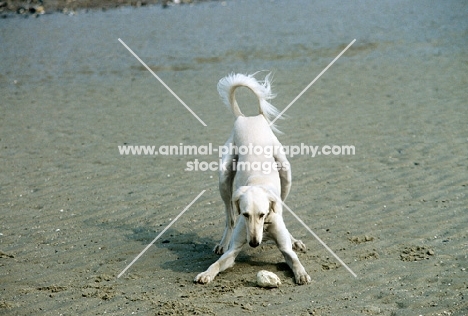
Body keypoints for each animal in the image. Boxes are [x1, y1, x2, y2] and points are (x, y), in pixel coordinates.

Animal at [194, 73, 310, 286]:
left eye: (262, 214)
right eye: (246, 215)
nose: (254, 243)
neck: (257, 184)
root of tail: (248, 117)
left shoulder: (284, 247)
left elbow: (294, 259)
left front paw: (301, 273)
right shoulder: (234, 250)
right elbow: (218, 263)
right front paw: (206, 273)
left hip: (286, 172)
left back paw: (294, 239)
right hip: (223, 179)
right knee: (229, 217)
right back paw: (222, 242)